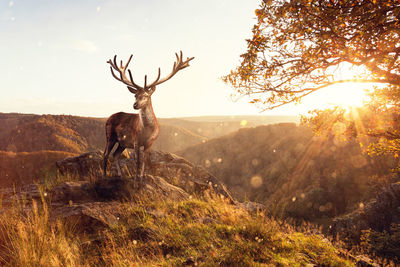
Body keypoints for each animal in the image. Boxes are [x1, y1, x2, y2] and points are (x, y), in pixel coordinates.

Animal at [103, 50, 194, 184]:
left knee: (115, 155)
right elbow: (137, 161)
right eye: (135, 95)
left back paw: (121, 176)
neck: (146, 130)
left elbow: (145, 161)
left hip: (122, 143)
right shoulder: (135, 140)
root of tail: (108, 118)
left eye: (146, 95)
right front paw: (136, 181)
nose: (135, 105)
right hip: (110, 136)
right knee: (106, 154)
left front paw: (142, 178)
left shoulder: (150, 142)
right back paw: (103, 176)